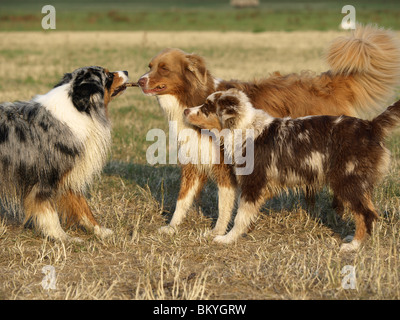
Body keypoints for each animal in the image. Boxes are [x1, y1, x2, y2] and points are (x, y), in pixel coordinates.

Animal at [184, 89, 400, 251]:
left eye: (206, 107)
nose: (185, 110)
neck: (243, 127)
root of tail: (370, 126)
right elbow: (247, 214)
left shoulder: (253, 182)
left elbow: (240, 216)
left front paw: (228, 238)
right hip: (360, 183)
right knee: (371, 212)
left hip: (347, 181)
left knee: (365, 214)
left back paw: (354, 245)